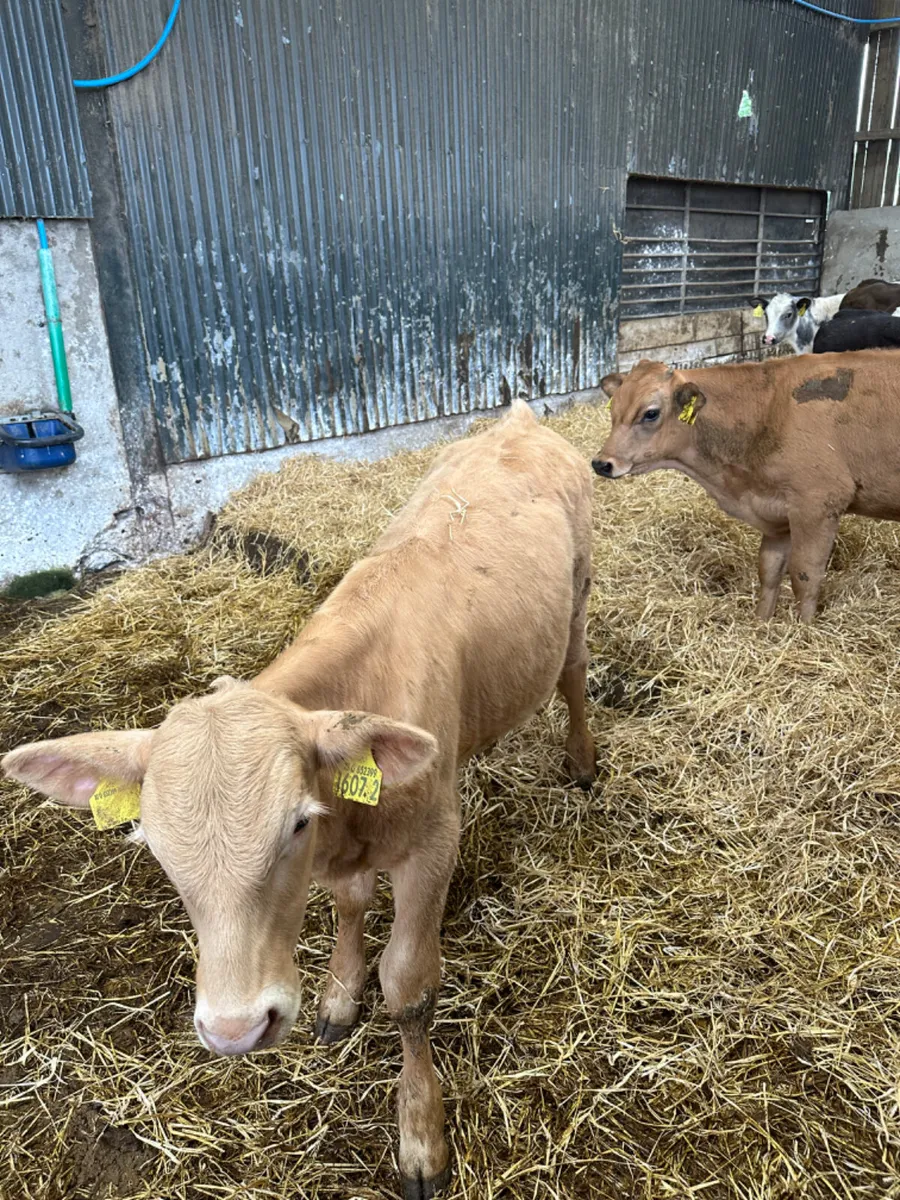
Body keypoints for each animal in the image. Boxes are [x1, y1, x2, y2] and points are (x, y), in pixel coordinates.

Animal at [2, 401, 596, 1200]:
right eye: (154, 847)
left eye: (293, 826)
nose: (234, 1031)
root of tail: (520, 418)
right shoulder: (350, 851)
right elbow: (349, 906)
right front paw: (340, 996)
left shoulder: (433, 841)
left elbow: (408, 987)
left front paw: (421, 1136)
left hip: (579, 595)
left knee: (574, 675)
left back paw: (584, 761)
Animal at [591, 353, 900, 622]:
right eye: (613, 410)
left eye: (651, 413)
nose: (602, 463)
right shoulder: (776, 515)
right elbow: (769, 571)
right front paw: (761, 622)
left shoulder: (818, 505)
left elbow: (805, 577)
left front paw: (802, 631)